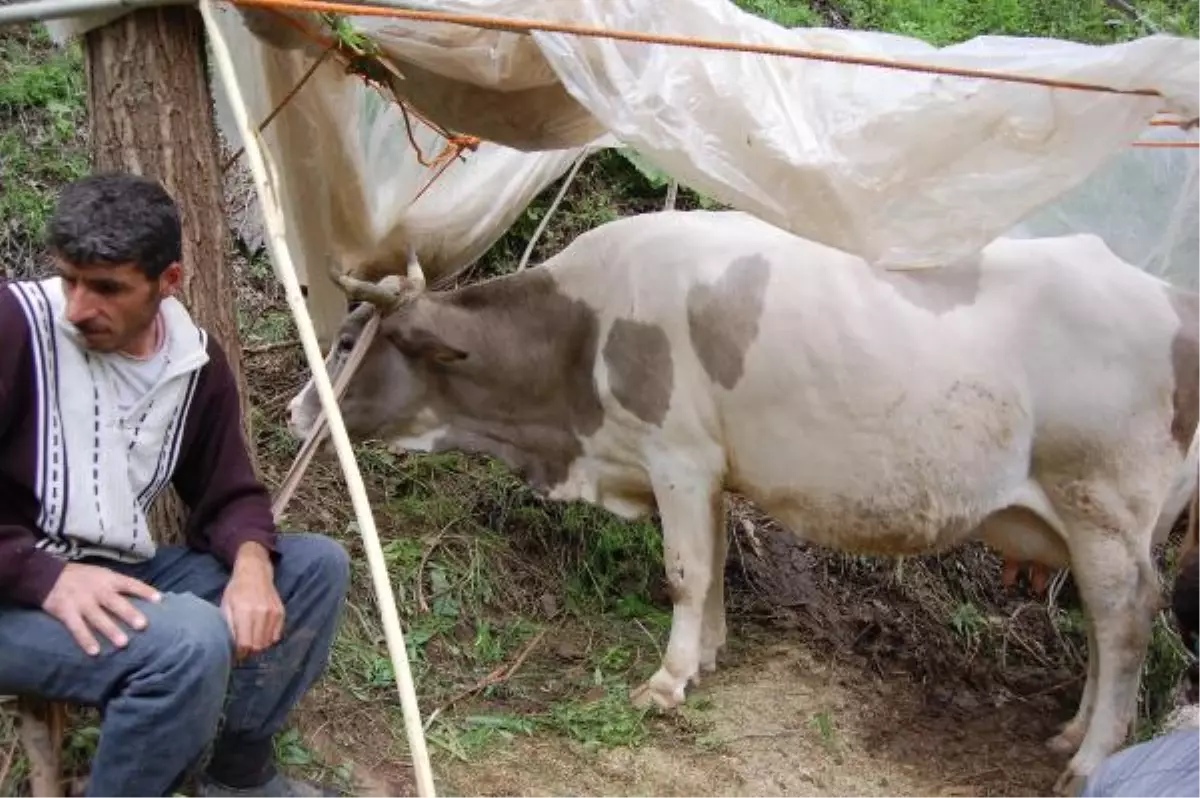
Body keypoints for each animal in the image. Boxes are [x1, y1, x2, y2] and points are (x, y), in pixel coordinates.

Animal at [288, 208, 1200, 792]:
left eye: (347, 340)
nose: (296, 411)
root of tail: (1170, 296)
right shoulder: (714, 470)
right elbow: (719, 559)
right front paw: (712, 655)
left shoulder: (679, 456)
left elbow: (685, 571)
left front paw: (667, 680)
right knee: (1106, 624)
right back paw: (1076, 731)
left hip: (1103, 503)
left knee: (1125, 620)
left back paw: (1091, 760)